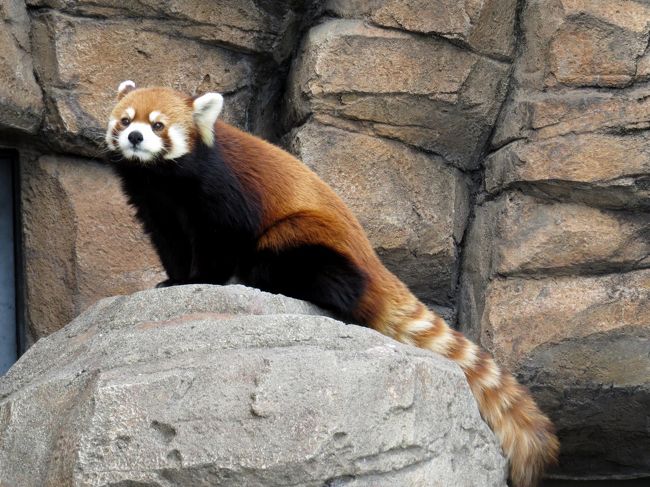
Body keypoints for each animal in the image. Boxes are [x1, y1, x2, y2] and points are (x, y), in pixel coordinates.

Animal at [106, 82, 556, 486]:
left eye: (158, 125)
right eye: (126, 120)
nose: (134, 137)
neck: (162, 179)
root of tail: (372, 258)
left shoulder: (221, 189)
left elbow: (220, 239)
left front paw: (204, 278)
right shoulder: (155, 203)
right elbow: (169, 242)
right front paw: (174, 279)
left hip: (306, 235)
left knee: (310, 270)